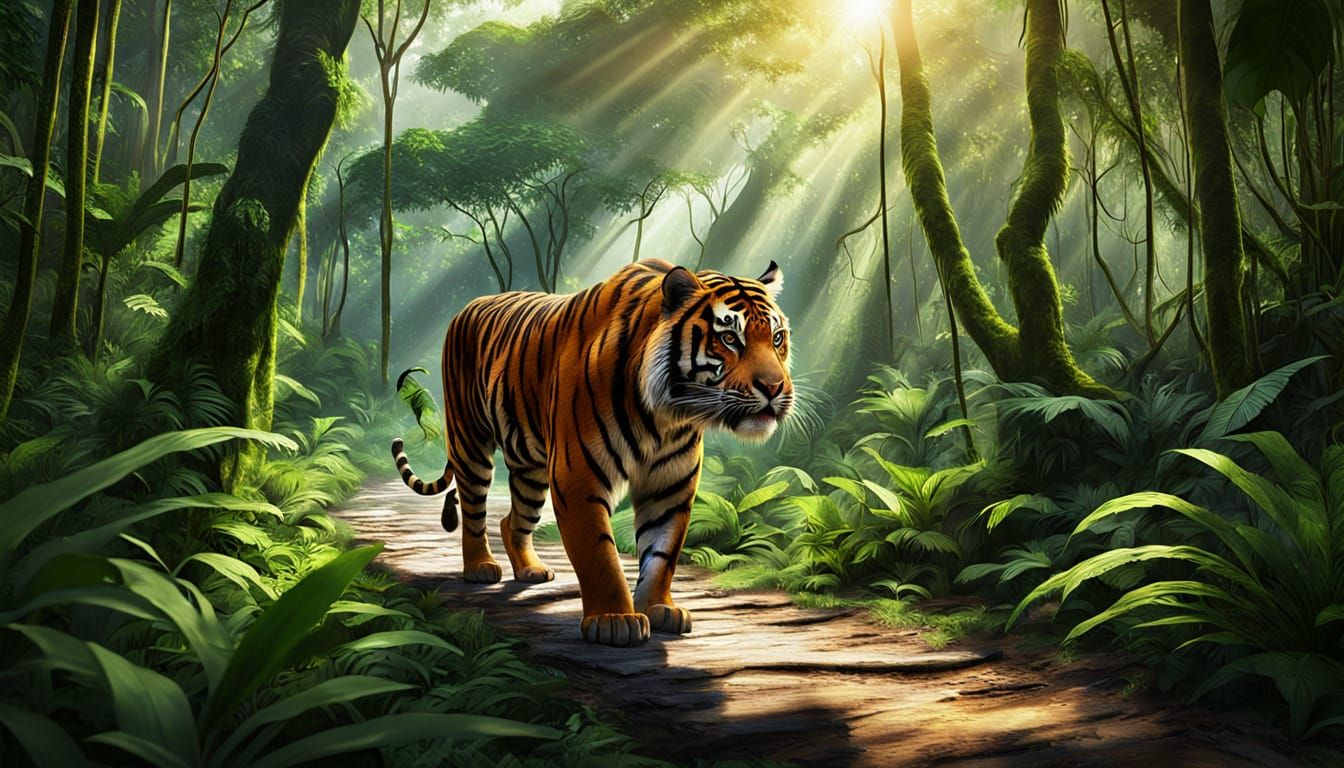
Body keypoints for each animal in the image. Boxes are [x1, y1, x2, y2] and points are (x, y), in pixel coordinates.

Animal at [390, 259, 793, 646]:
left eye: (777, 338)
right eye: (729, 338)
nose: (774, 387)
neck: (666, 416)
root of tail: (467, 307)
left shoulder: (670, 486)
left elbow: (662, 553)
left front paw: (659, 607)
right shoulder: (578, 478)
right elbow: (600, 555)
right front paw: (614, 621)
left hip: (531, 470)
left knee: (512, 520)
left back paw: (530, 570)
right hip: (470, 441)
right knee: (474, 509)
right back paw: (479, 568)